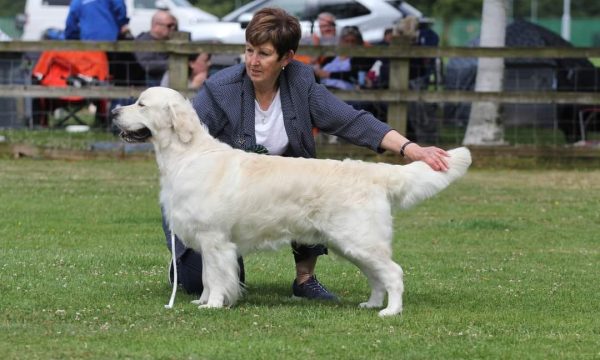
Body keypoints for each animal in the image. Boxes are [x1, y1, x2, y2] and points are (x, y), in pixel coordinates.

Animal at [110, 86, 472, 316]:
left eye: (141, 104)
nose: (113, 111)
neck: (187, 156)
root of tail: (375, 171)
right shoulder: (208, 240)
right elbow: (206, 278)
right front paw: (203, 302)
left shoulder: (215, 240)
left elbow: (214, 277)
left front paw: (213, 305)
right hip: (352, 244)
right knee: (376, 276)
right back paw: (372, 304)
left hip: (360, 239)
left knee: (393, 272)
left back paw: (391, 311)